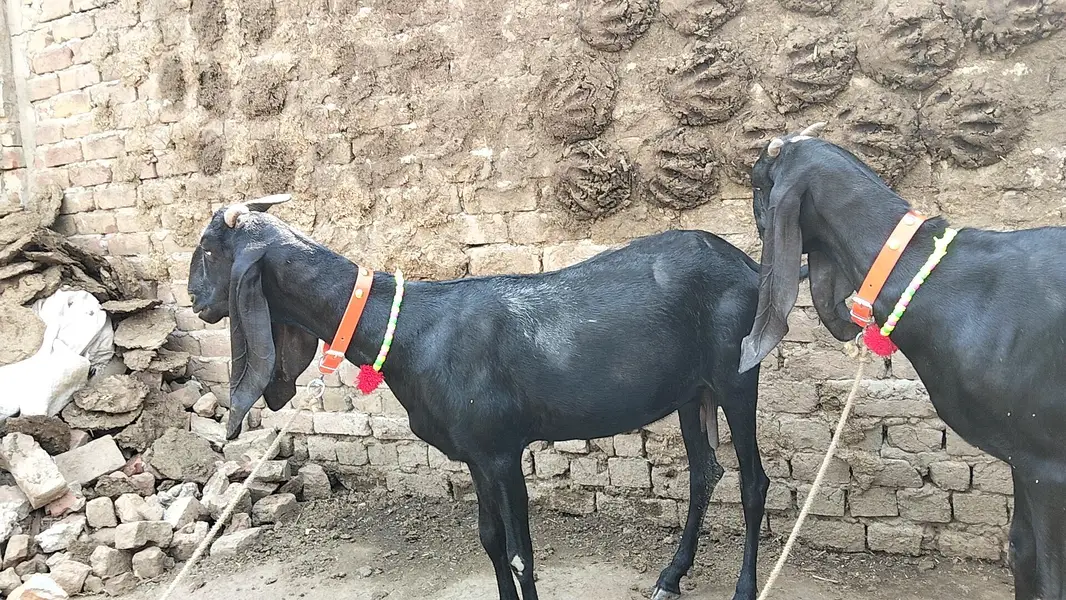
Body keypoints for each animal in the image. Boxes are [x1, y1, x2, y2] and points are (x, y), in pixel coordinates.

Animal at [187, 195, 772, 600]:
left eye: (211, 251)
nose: (194, 299)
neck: (412, 330)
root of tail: (748, 267)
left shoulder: (502, 450)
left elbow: (520, 554)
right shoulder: (475, 454)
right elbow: (491, 540)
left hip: (736, 376)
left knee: (753, 483)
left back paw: (744, 587)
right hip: (692, 390)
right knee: (704, 472)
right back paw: (671, 576)